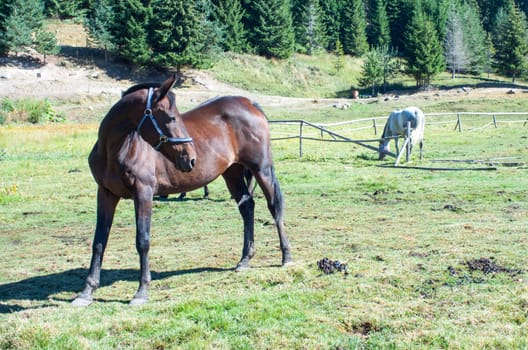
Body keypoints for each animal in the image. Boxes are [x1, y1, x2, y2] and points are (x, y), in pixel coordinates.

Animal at [71, 74, 290, 306]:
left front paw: (141, 291)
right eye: (171, 118)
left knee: (274, 207)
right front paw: (86, 292)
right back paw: (244, 260)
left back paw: (286, 257)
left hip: (261, 169)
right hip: (232, 173)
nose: (190, 158)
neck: (117, 150)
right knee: (247, 207)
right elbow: (99, 242)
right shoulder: (106, 194)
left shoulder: (143, 194)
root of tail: (249, 103)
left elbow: (143, 241)